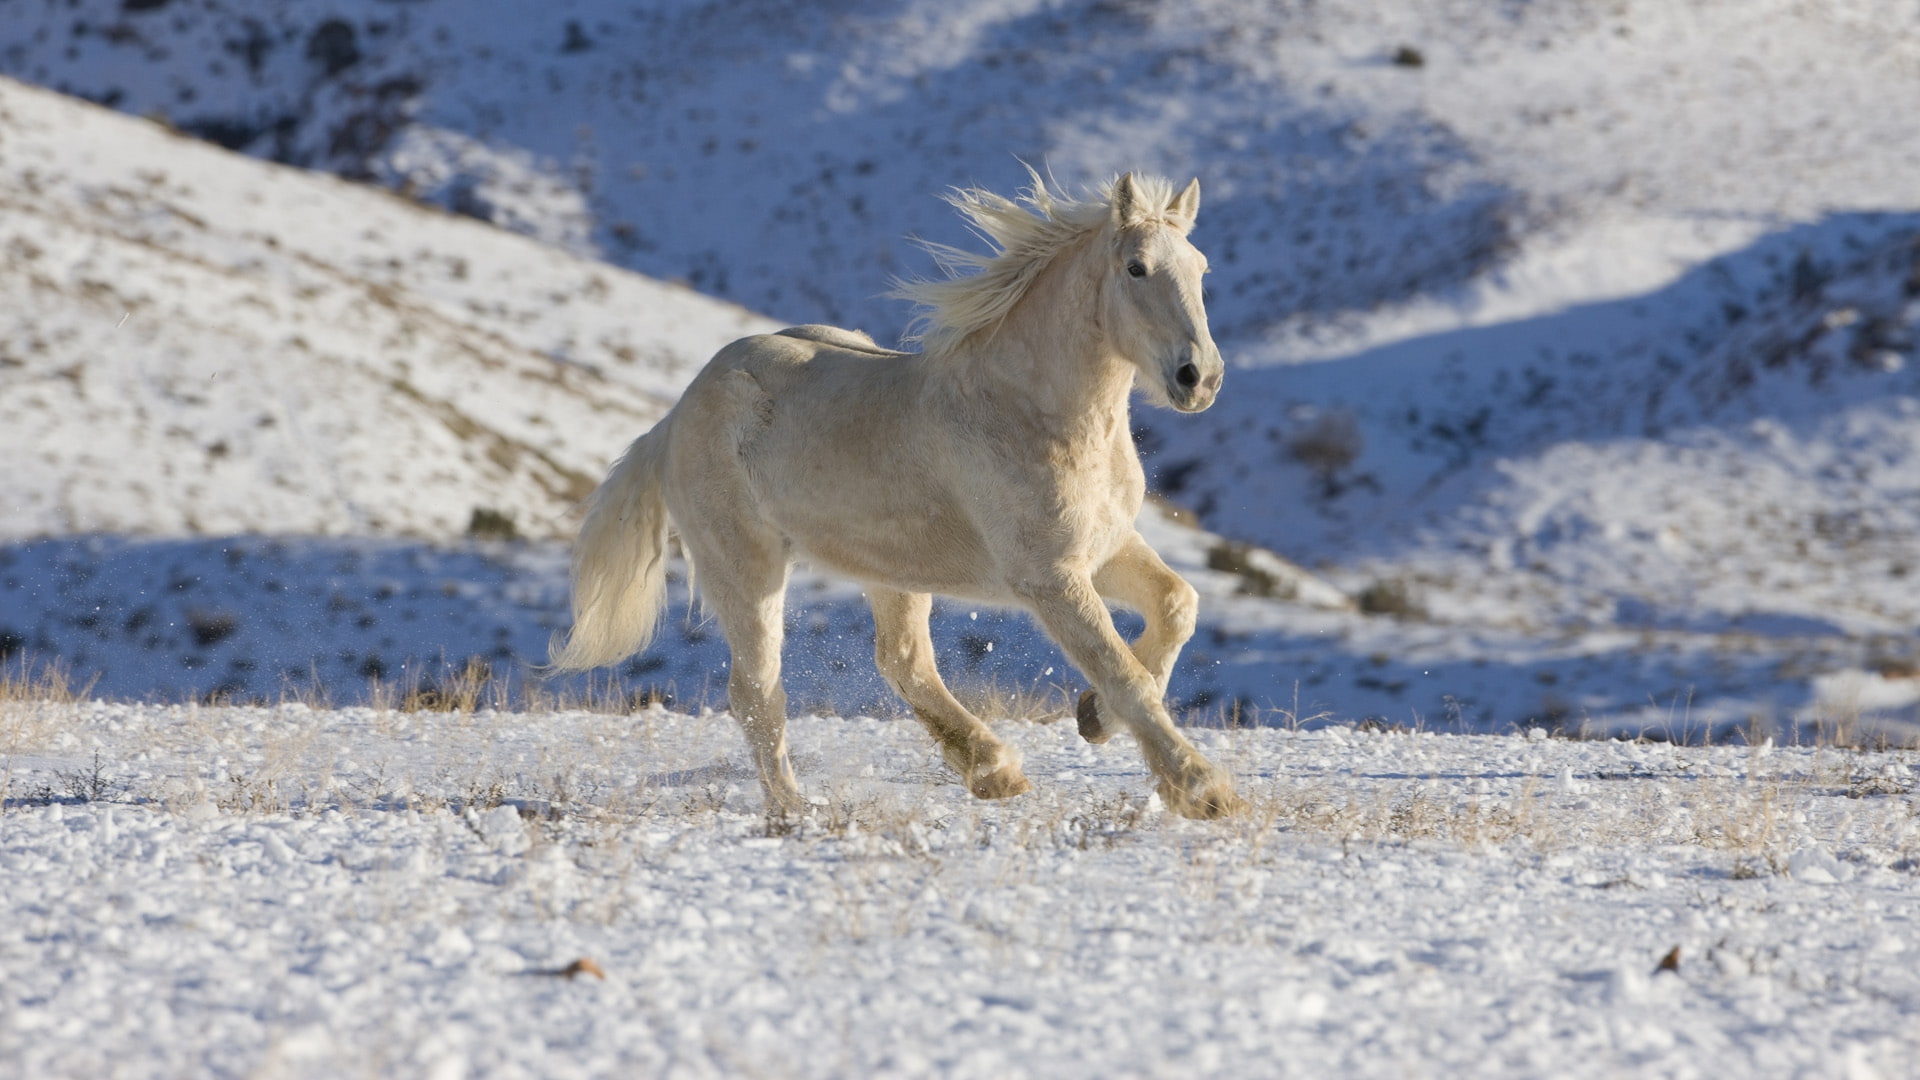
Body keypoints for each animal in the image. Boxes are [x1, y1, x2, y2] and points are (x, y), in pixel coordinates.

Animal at [549, 170, 1241, 819]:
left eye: (1201, 268)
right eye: (1136, 267)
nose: (1199, 378)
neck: (1029, 411)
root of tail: (674, 417)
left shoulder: (1105, 546)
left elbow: (1177, 606)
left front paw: (1094, 718)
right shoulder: (1049, 577)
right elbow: (1123, 672)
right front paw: (1204, 791)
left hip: (892, 569)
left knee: (903, 661)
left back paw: (994, 772)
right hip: (744, 567)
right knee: (756, 693)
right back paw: (795, 809)